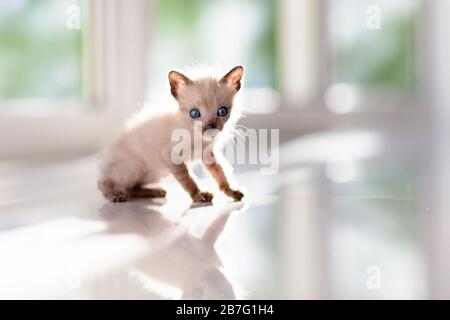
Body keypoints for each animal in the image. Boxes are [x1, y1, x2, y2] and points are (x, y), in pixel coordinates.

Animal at [99, 65, 246, 202]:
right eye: (194, 113)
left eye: (222, 111)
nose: (210, 128)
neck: (198, 138)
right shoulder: (170, 155)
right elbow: (187, 179)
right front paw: (198, 195)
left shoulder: (208, 154)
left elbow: (221, 173)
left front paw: (230, 191)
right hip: (137, 166)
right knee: (106, 183)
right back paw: (116, 194)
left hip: (155, 173)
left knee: (131, 187)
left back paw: (154, 192)